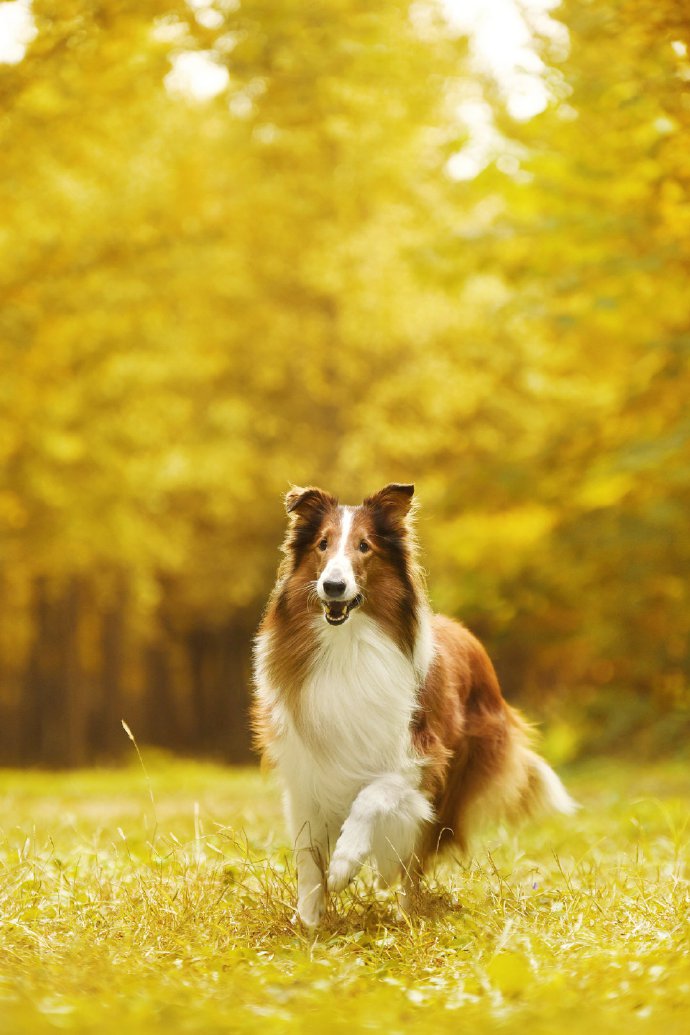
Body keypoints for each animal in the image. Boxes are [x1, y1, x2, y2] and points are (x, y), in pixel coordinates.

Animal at [251, 484, 575, 931]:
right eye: (322, 544)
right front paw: (310, 923)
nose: (333, 586)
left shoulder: (423, 756)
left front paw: (346, 863)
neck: (348, 648)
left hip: (454, 782)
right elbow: (308, 859)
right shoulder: (306, 772)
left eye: (364, 546)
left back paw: (406, 910)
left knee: (413, 859)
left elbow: (371, 797)